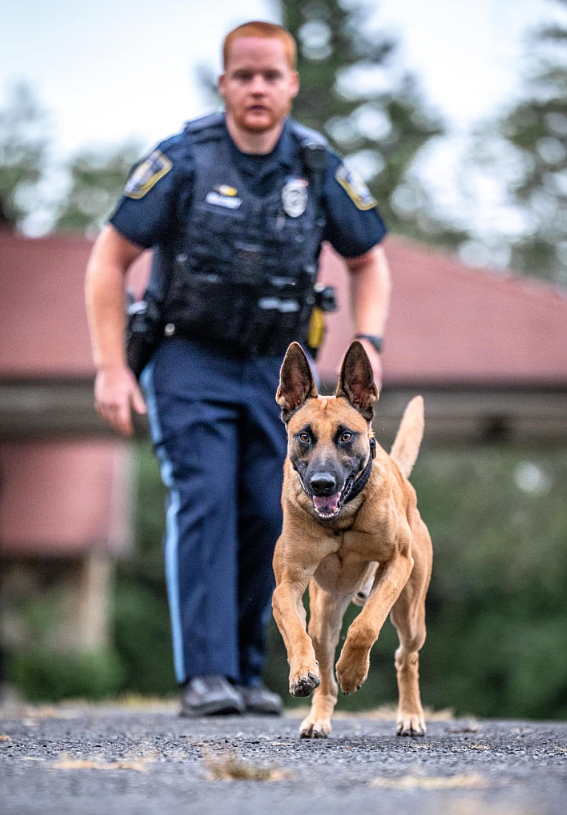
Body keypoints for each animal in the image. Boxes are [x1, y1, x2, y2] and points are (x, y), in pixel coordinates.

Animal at [272, 340, 432, 740]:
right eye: (304, 436)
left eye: (346, 436)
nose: (322, 484)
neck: (342, 521)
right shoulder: (287, 583)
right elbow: (294, 629)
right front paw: (302, 673)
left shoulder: (397, 563)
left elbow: (366, 626)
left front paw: (352, 671)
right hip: (325, 614)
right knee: (323, 667)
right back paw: (318, 716)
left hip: (411, 611)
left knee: (406, 656)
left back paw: (410, 715)